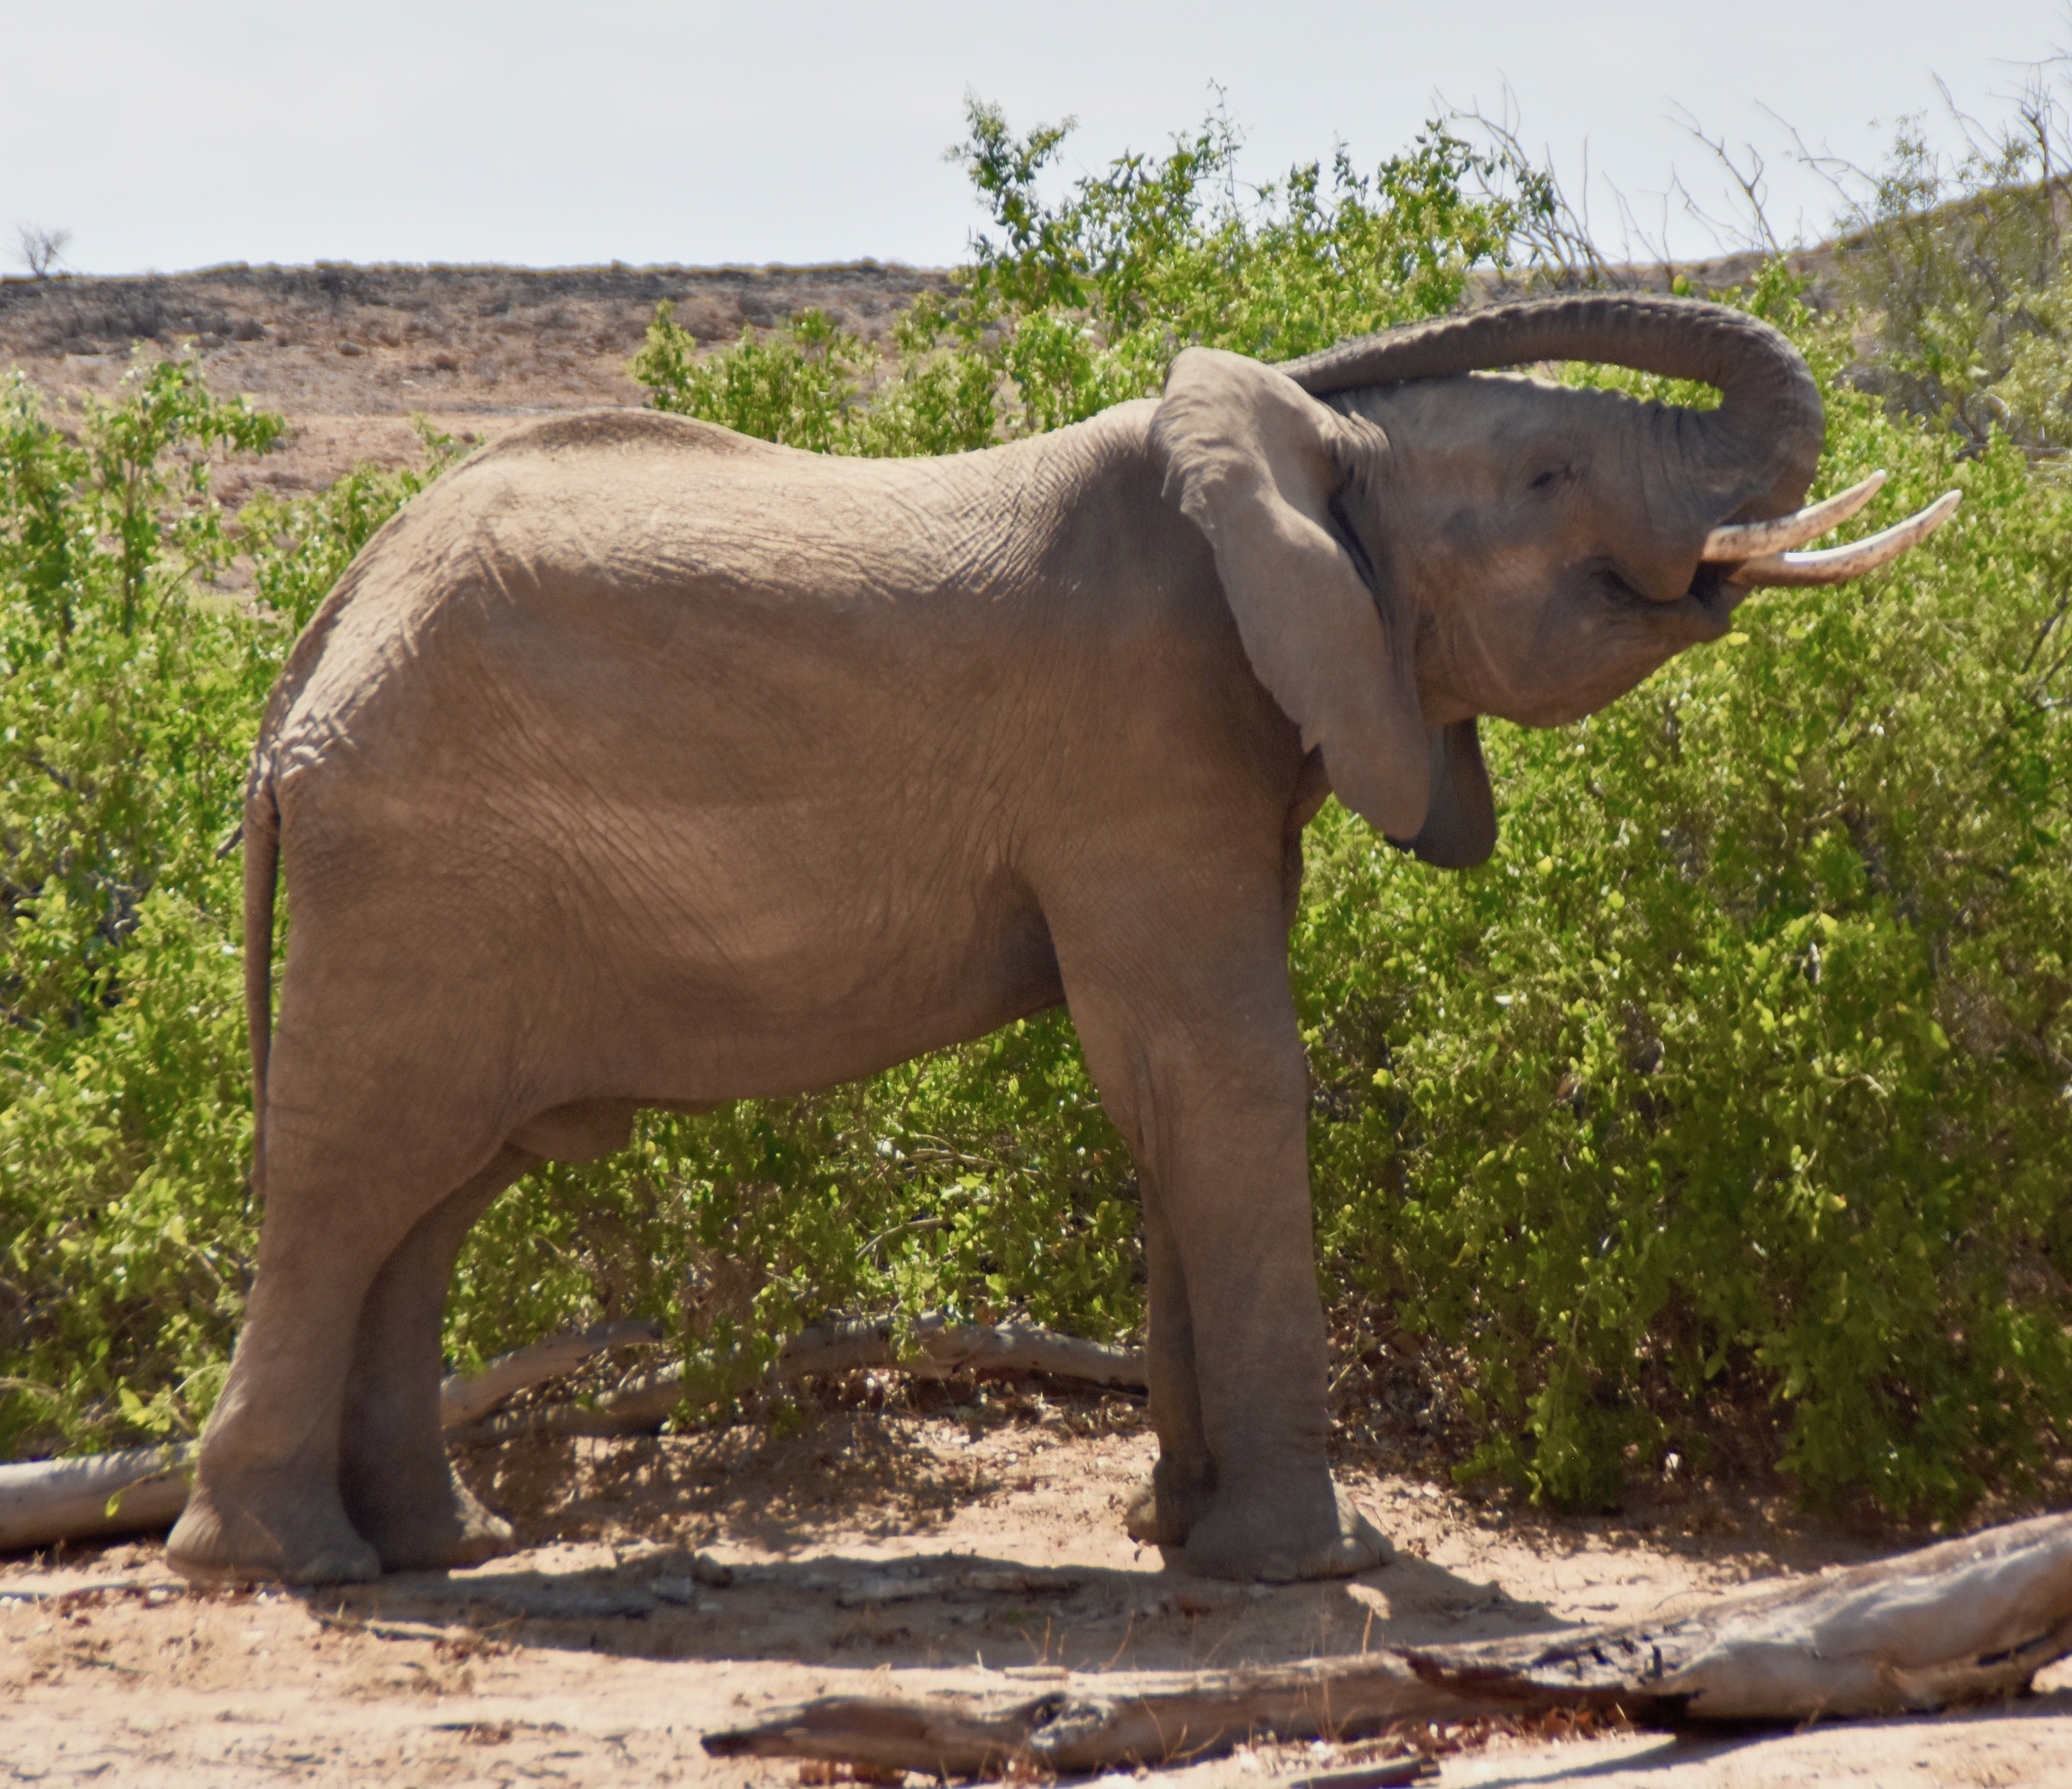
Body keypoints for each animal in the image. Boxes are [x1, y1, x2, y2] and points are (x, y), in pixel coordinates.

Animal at [166, 296, 1956, 1590]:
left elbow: (1172, 1092)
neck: (1312, 452)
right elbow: (1224, 1069)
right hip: (418, 868)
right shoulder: (1139, 737)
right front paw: (1311, 1566)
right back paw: (285, 1562)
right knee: (357, 1172)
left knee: (435, 1191)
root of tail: (315, 647)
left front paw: (1183, 1536)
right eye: (1542, 482)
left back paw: (437, 1546)